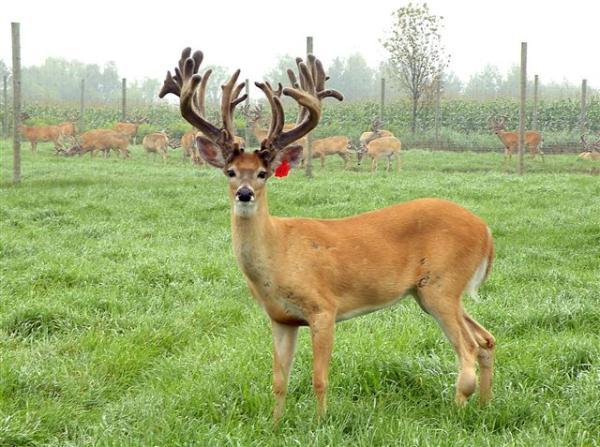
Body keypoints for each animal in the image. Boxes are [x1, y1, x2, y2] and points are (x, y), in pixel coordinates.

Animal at [159, 48, 496, 424]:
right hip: (434, 292)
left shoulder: (324, 308)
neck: (278, 254)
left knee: (468, 348)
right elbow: (278, 379)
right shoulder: (281, 318)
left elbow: (319, 377)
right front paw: (275, 423)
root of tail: (485, 230)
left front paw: (320, 422)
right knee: (486, 340)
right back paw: (484, 407)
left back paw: (459, 409)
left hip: (441, 285)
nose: (244, 194)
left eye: (263, 173)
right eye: (230, 171)